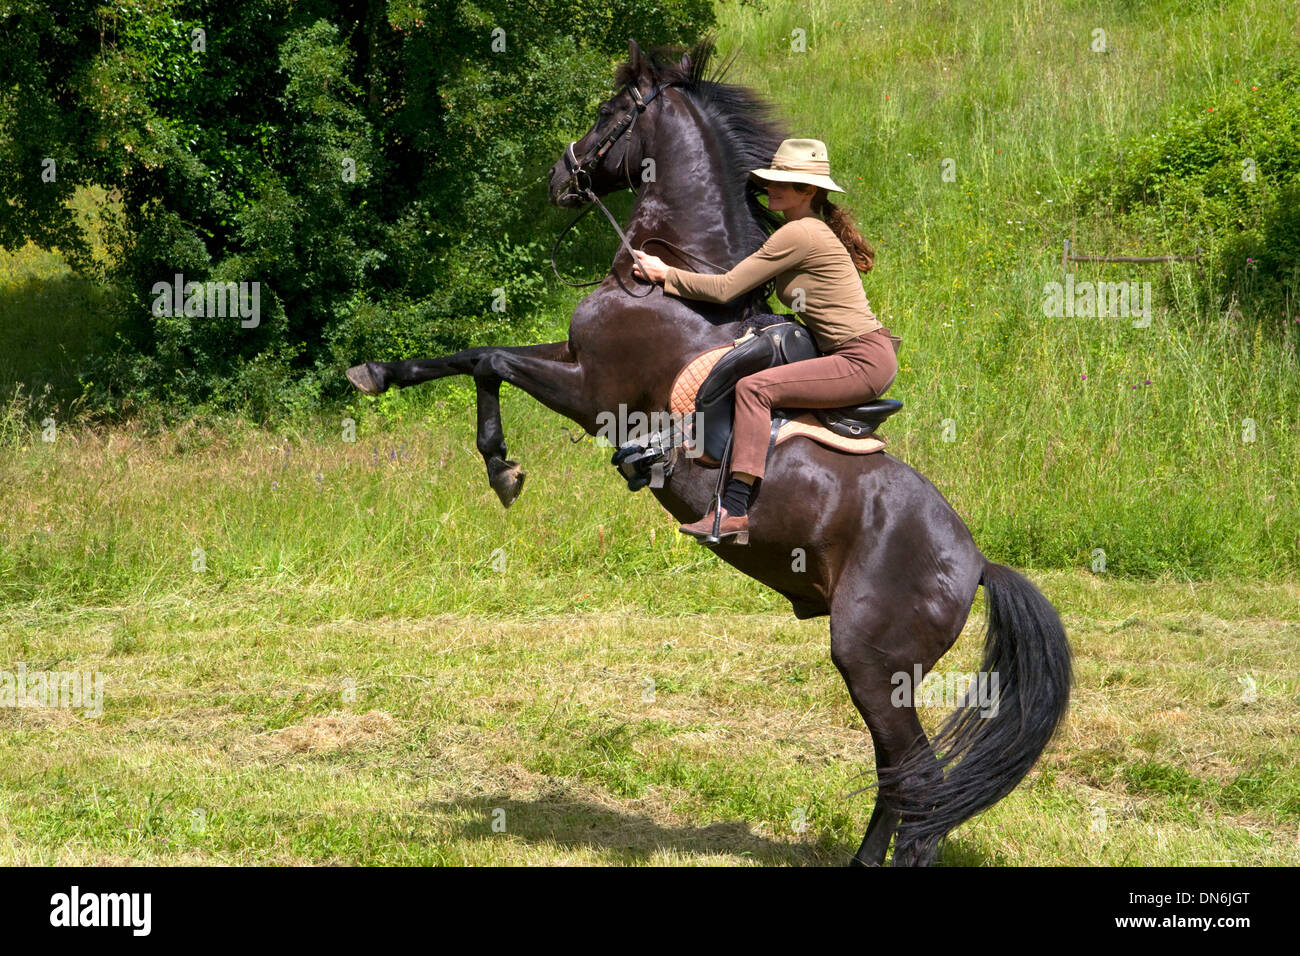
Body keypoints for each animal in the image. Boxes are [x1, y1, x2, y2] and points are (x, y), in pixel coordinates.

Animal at [345, 37, 1066, 868]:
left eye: (609, 112)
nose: (561, 175)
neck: (675, 272)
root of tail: (976, 562)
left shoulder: (594, 389)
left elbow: (489, 357)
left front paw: (500, 465)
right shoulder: (570, 358)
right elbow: (471, 355)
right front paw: (380, 375)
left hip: (868, 658)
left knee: (917, 777)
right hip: (886, 673)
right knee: (901, 776)